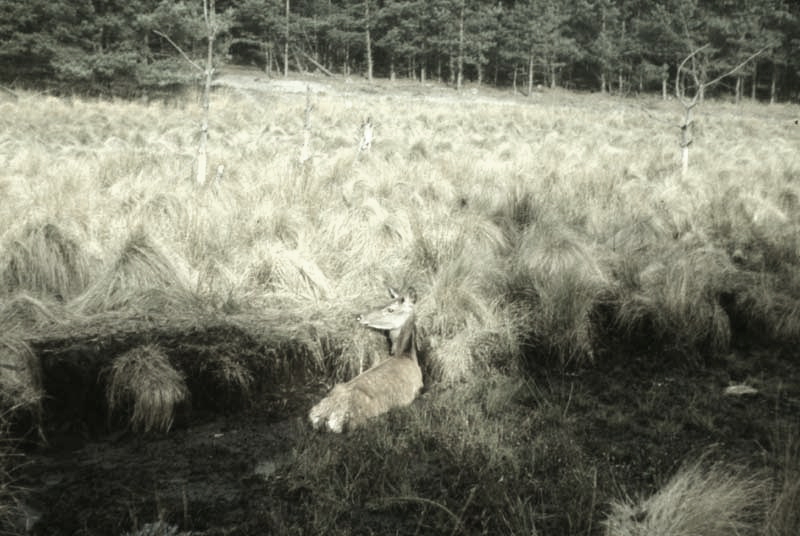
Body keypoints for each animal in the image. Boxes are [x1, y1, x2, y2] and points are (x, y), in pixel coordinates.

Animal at [310, 286, 424, 434]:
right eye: (385, 302)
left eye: (390, 309)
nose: (359, 316)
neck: (407, 356)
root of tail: (324, 417)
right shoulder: (418, 387)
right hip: (361, 419)